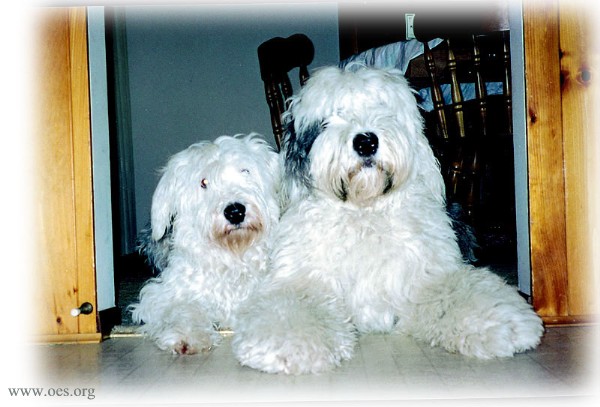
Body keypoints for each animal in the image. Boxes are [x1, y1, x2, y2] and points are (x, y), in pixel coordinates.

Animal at [130, 134, 280, 354]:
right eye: (203, 182)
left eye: (245, 171)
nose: (235, 212)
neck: (232, 258)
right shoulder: (159, 296)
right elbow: (184, 307)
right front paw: (187, 336)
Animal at [232, 67, 548, 376]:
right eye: (332, 116)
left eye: (382, 107)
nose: (366, 141)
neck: (365, 212)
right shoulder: (302, 279)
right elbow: (293, 303)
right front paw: (291, 343)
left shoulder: (426, 275)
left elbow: (455, 290)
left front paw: (505, 323)